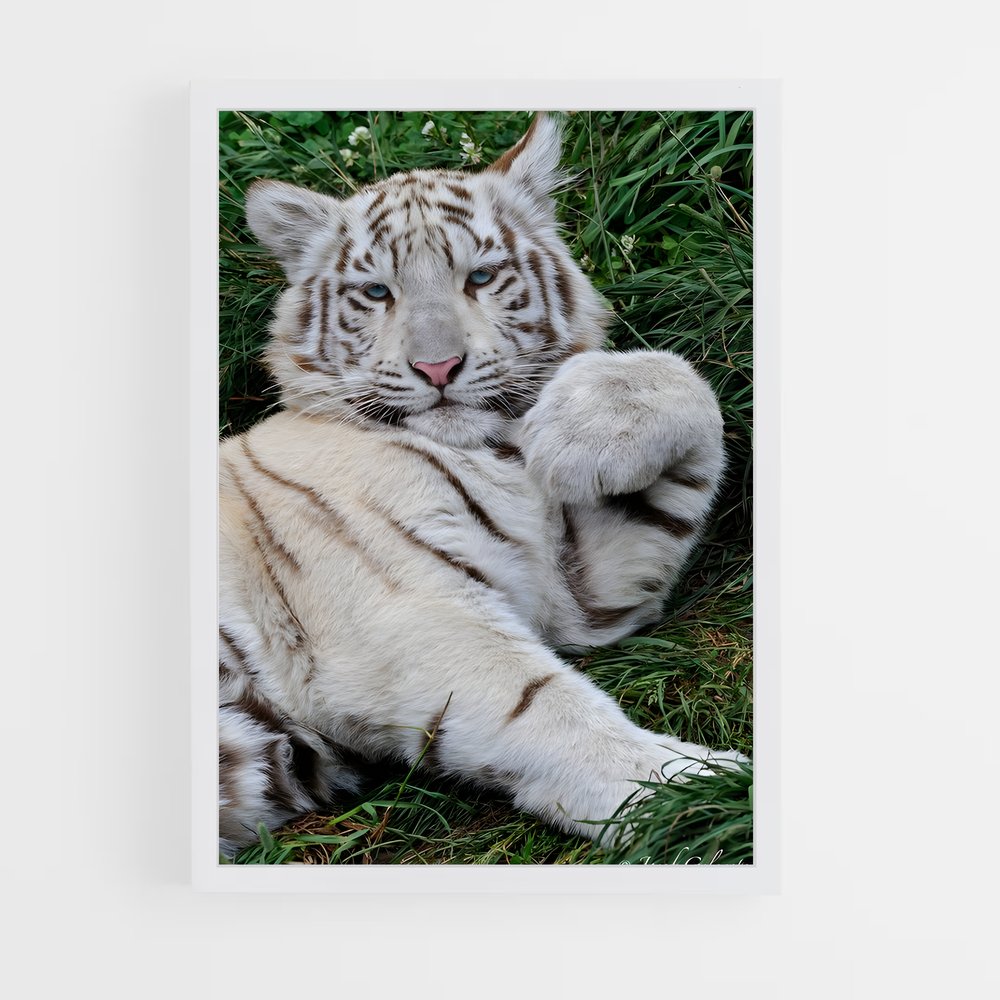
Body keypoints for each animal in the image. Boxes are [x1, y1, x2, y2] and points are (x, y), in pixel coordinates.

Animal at [219, 112, 748, 859]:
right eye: (377, 292)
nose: (438, 367)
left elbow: (686, 379)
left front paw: (574, 430)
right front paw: (697, 792)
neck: (489, 447)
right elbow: (545, 707)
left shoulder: (578, 596)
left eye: (482, 276)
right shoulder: (406, 612)